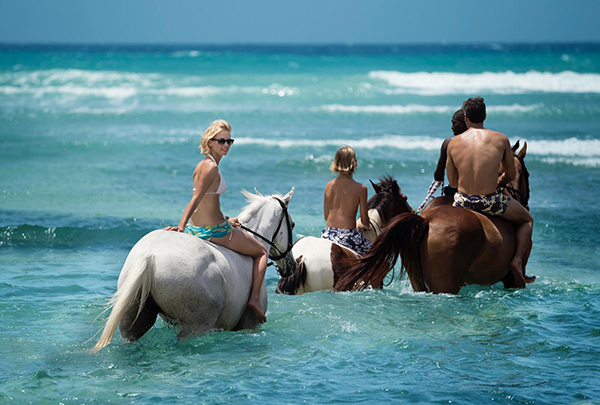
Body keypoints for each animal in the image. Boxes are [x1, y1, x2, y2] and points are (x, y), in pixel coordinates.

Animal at [93, 188, 296, 352]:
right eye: (292, 224)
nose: (292, 265)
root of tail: (150, 256)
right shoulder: (250, 324)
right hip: (195, 326)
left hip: (133, 321)